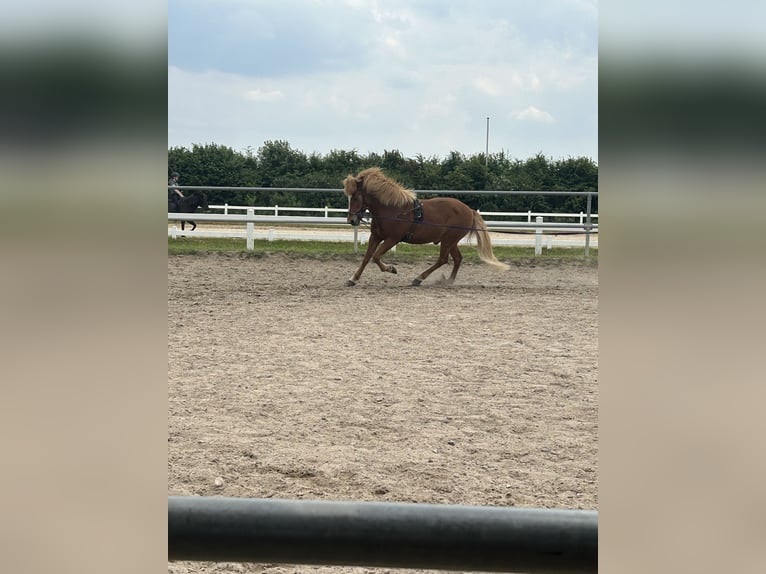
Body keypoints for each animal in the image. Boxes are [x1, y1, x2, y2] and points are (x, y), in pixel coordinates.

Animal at [343, 167, 509, 286]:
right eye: (348, 197)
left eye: (356, 197)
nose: (351, 220)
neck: (393, 209)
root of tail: (469, 210)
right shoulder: (376, 236)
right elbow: (367, 257)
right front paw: (353, 279)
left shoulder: (393, 239)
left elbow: (376, 257)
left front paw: (391, 269)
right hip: (451, 241)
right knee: (457, 259)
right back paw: (448, 281)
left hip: (448, 240)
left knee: (443, 260)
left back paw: (419, 278)